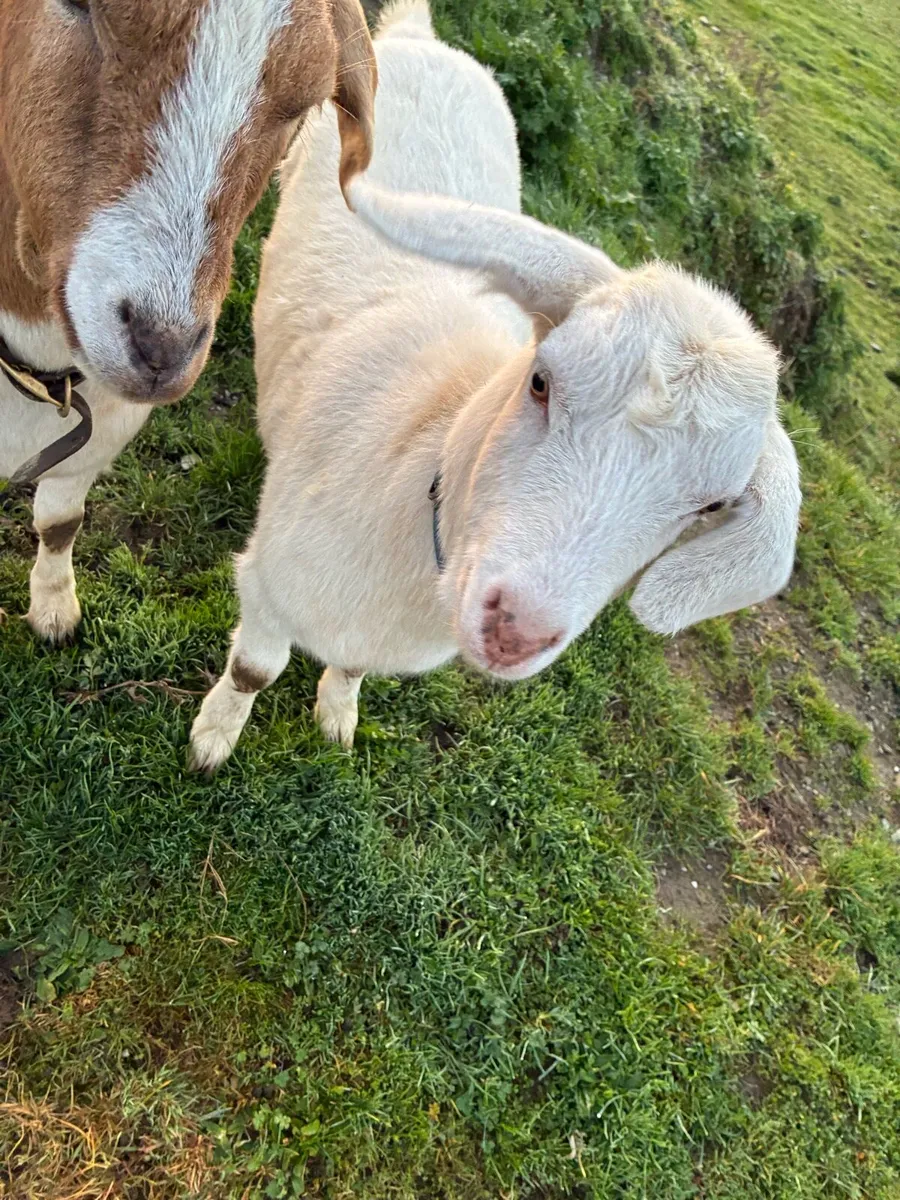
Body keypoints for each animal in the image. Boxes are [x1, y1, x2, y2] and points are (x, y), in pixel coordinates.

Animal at [0, 0, 376, 642]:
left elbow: (60, 520)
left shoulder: (101, 431)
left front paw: (53, 609)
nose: (160, 348)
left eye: (302, 103)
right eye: (77, 4)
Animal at [189, 0, 801, 769]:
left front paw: (337, 715)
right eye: (540, 382)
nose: (516, 628)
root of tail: (423, 36)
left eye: (713, 505)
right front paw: (214, 736)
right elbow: (254, 669)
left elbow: (351, 669)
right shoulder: (269, 583)